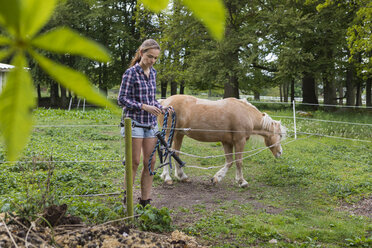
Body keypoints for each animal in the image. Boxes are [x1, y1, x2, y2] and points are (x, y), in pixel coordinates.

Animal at [158, 94, 286, 187]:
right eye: (280, 135)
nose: (280, 152)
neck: (246, 114)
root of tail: (164, 104)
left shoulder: (227, 142)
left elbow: (229, 162)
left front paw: (216, 178)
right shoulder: (240, 141)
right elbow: (239, 162)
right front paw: (242, 182)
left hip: (179, 135)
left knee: (175, 153)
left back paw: (182, 177)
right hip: (170, 134)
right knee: (166, 152)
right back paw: (167, 178)